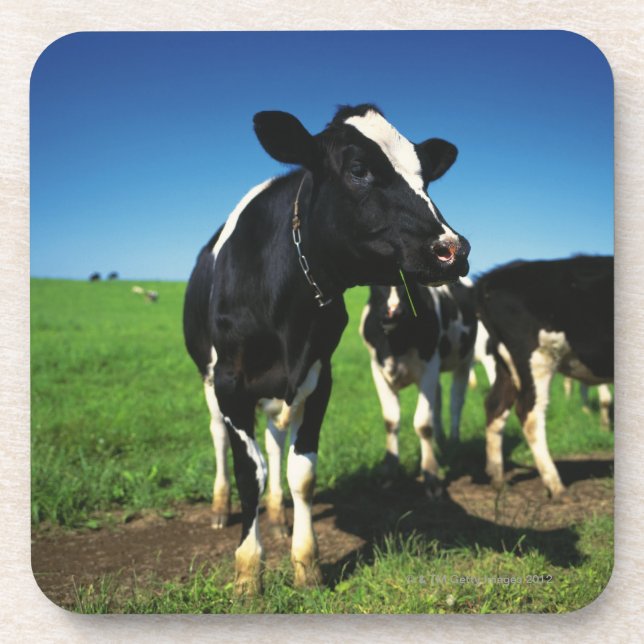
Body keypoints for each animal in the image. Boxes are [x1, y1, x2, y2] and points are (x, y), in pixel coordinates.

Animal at [359, 279, 477, 497]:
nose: (393, 312)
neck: (396, 344)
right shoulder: (377, 369)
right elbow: (391, 421)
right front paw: (389, 473)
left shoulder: (429, 366)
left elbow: (423, 424)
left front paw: (431, 476)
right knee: (438, 400)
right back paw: (441, 439)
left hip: (465, 359)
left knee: (456, 401)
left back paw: (454, 441)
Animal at [475, 256, 613, 498]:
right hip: (537, 357)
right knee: (529, 413)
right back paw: (555, 485)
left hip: (505, 363)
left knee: (495, 405)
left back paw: (497, 478)